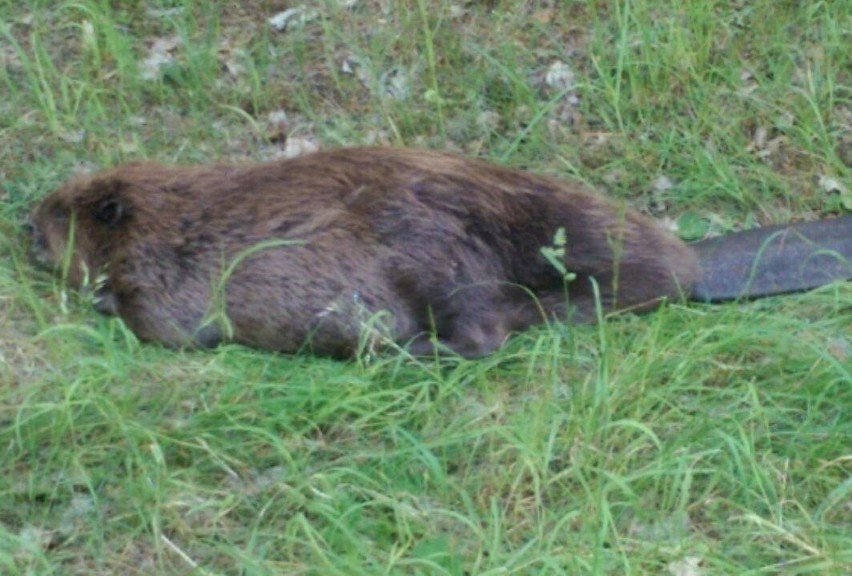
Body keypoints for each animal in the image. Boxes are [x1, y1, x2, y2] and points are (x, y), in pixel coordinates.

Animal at [28, 146, 852, 358]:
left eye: (58, 214)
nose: (23, 226)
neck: (177, 216)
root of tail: (692, 270)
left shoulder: (174, 275)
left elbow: (160, 326)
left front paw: (100, 297)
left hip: (438, 271)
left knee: (480, 338)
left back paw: (403, 353)